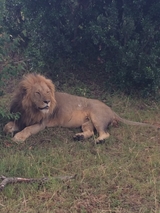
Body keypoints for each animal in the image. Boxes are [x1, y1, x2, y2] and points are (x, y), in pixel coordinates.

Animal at [3, 72, 157, 144]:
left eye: (47, 92)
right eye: (37, 93)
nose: (47, 102)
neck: (30, 109)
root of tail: (111, 110)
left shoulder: (41, 124)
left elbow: (28, 129)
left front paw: (18, 137)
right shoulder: (21, 117)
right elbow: (8, 125)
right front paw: (9, 130)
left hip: (97, 116)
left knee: (104, 133)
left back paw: (99, 141)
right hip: (86, 122)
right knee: (90, 131)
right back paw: (79, 137)